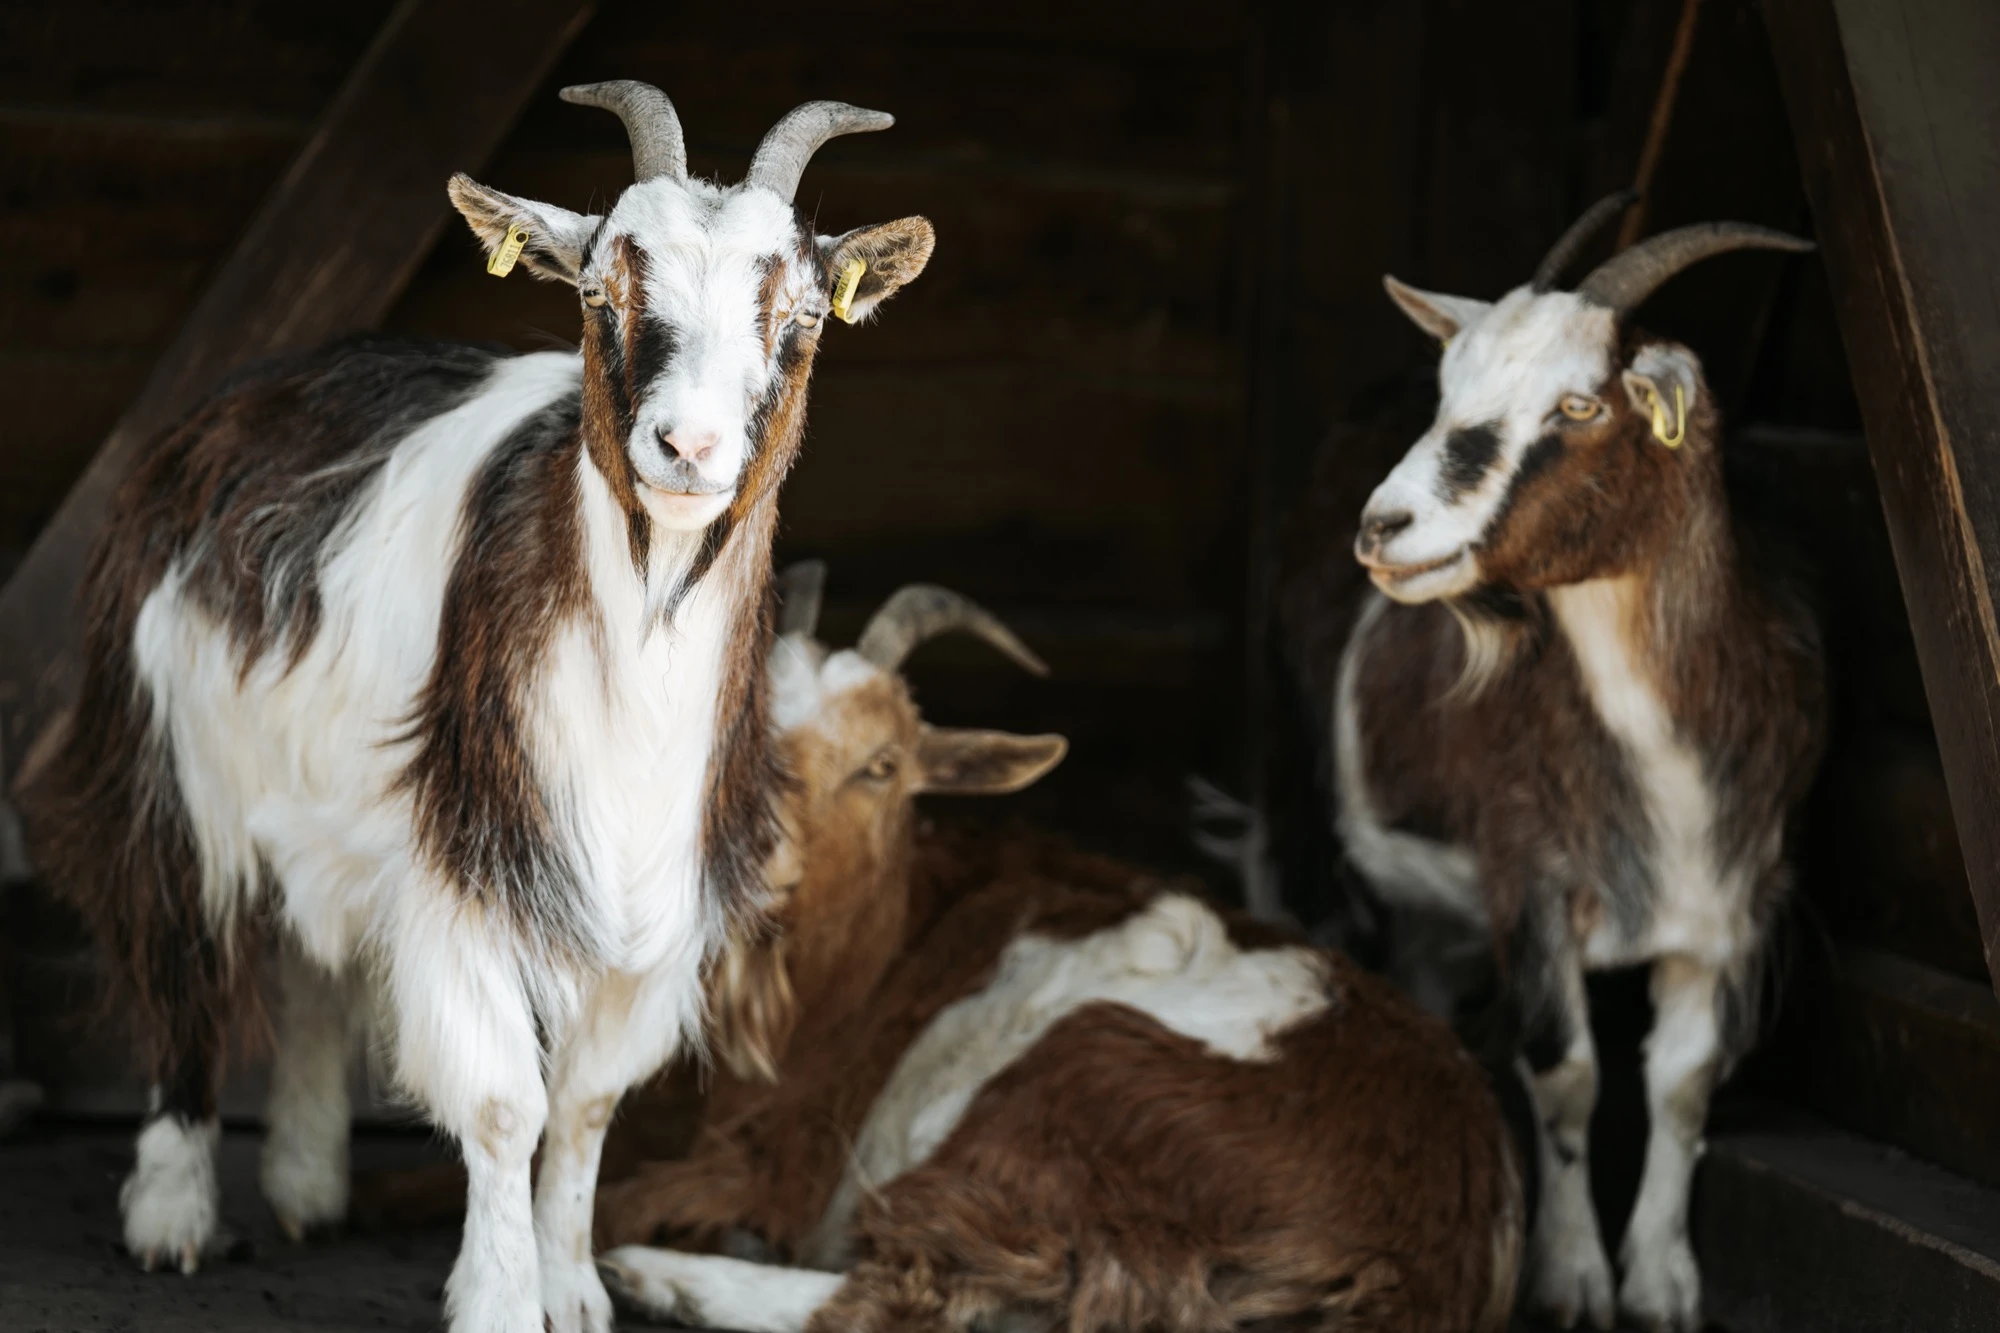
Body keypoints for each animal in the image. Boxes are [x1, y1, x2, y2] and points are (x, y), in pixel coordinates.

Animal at [17, 83, 932, 1333]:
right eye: (601, 294)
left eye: (797, 313)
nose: (685, 445)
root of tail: (251, 391)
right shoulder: (466, 866)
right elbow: (507, 1102)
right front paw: (500, 1298)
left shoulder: (650, 887)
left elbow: (587, 1102)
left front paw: (574, 1287)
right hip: (168, 753)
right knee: (180, 950)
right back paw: (172, 1211)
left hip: (337, 799)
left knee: (312, 960)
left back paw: (308, 1182)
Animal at [591, 567, 1524, 1333]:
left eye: (881, 764)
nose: (755, 848)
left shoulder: (781, 1152)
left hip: (1076, 1094)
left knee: (909, 1288)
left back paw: (651, 1275)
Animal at [1334, 195, 1826, 1331]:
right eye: (1446, 392)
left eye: (1577, 404)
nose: (1384, 525)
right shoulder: (1532, 880)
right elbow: (1565, 1072)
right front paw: (1571, 1277)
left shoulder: (1732, 902)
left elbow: (1682, 1081)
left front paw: (1661, 1279)